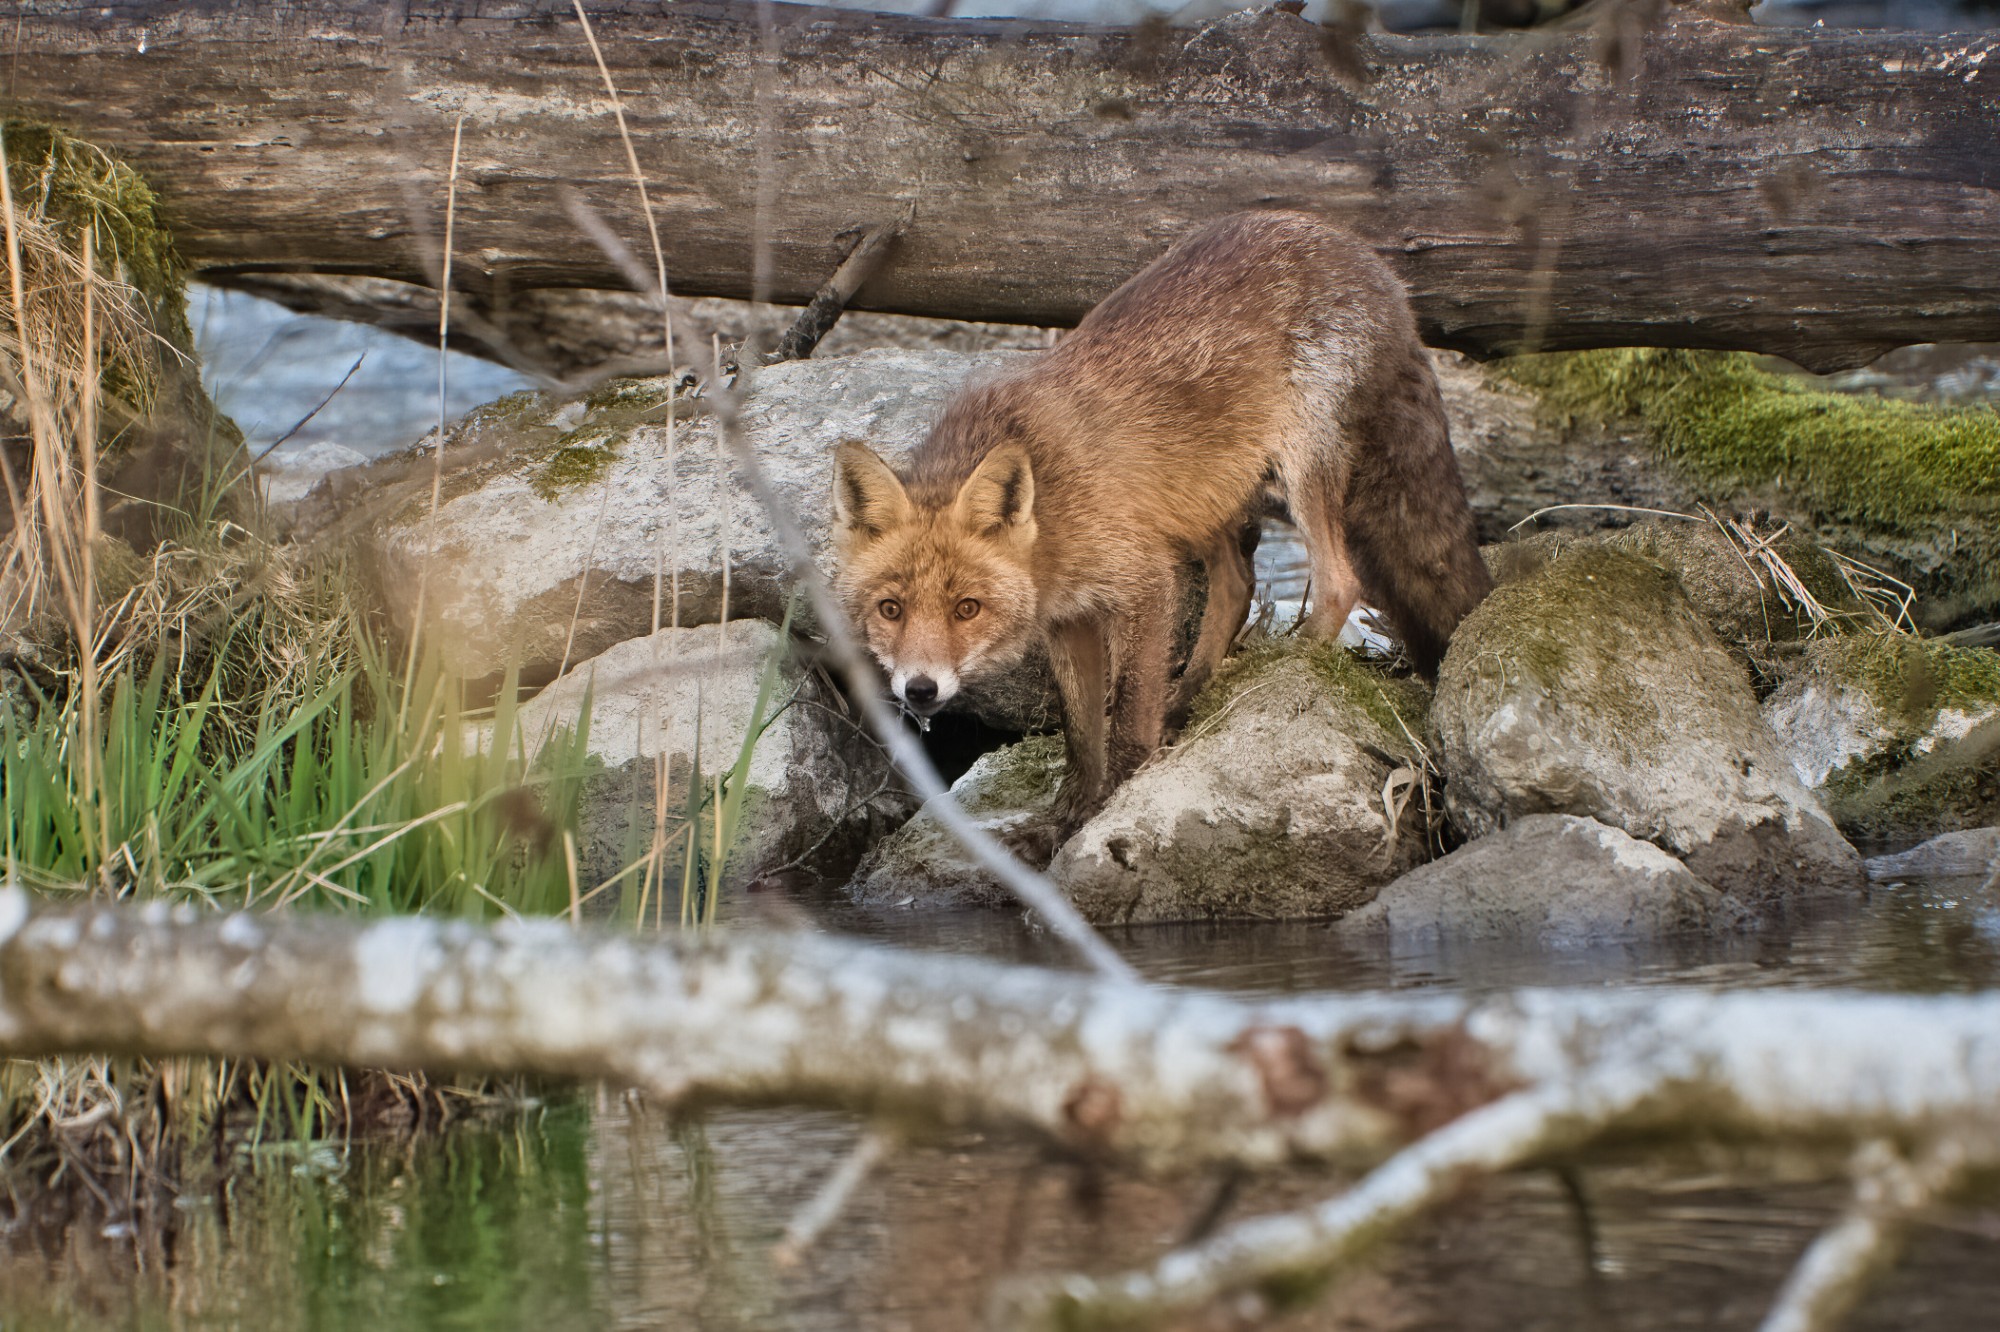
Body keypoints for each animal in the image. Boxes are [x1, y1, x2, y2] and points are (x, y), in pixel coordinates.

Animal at [831, 211, 1491, 857]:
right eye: (890, 609)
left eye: (966, 608)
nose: (919, 691)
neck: (1052, 507)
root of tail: (1362, 254)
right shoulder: (1070, 618)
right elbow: (1081, 735)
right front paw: (1060, 824)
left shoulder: (1143, 581)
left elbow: (1125, 720)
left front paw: (1107, 808)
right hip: (1206, 498)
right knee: (1238, 586)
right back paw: (1190, 697)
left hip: (1300, 469)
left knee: (1338, 577)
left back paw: (1283, 665)